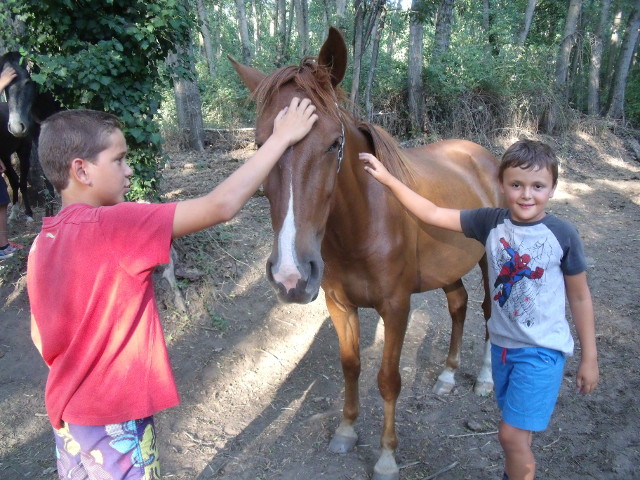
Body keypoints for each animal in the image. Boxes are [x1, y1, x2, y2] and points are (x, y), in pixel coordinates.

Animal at [232, 28, 502, 478]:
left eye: (333, 143)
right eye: (260, 143)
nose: (291, 275)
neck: (362, 226)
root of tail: (483, 157)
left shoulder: (396, 307)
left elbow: (388, 379)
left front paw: (387, 457)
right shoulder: (340, 305)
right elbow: (351, 366)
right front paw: (346, 430)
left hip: (489, 262)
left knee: (487, 312)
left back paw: (484, 379)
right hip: (449, 267)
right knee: (459, 305)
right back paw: (447, 376)